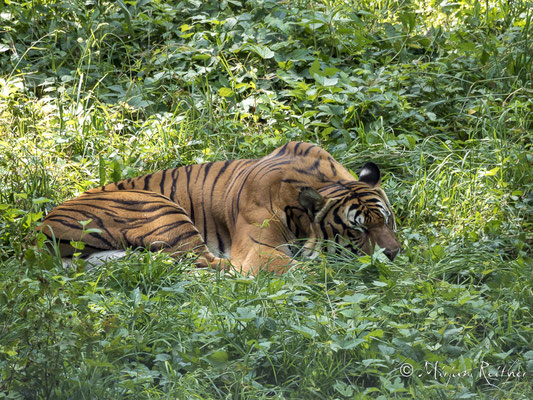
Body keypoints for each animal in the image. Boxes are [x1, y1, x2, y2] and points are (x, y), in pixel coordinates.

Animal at [38, 141, 400, 276]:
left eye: (387, 220)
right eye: (356, 229)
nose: (394, 254)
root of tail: (39, 233)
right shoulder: (258, 249)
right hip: (160, 208)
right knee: (206, 266)